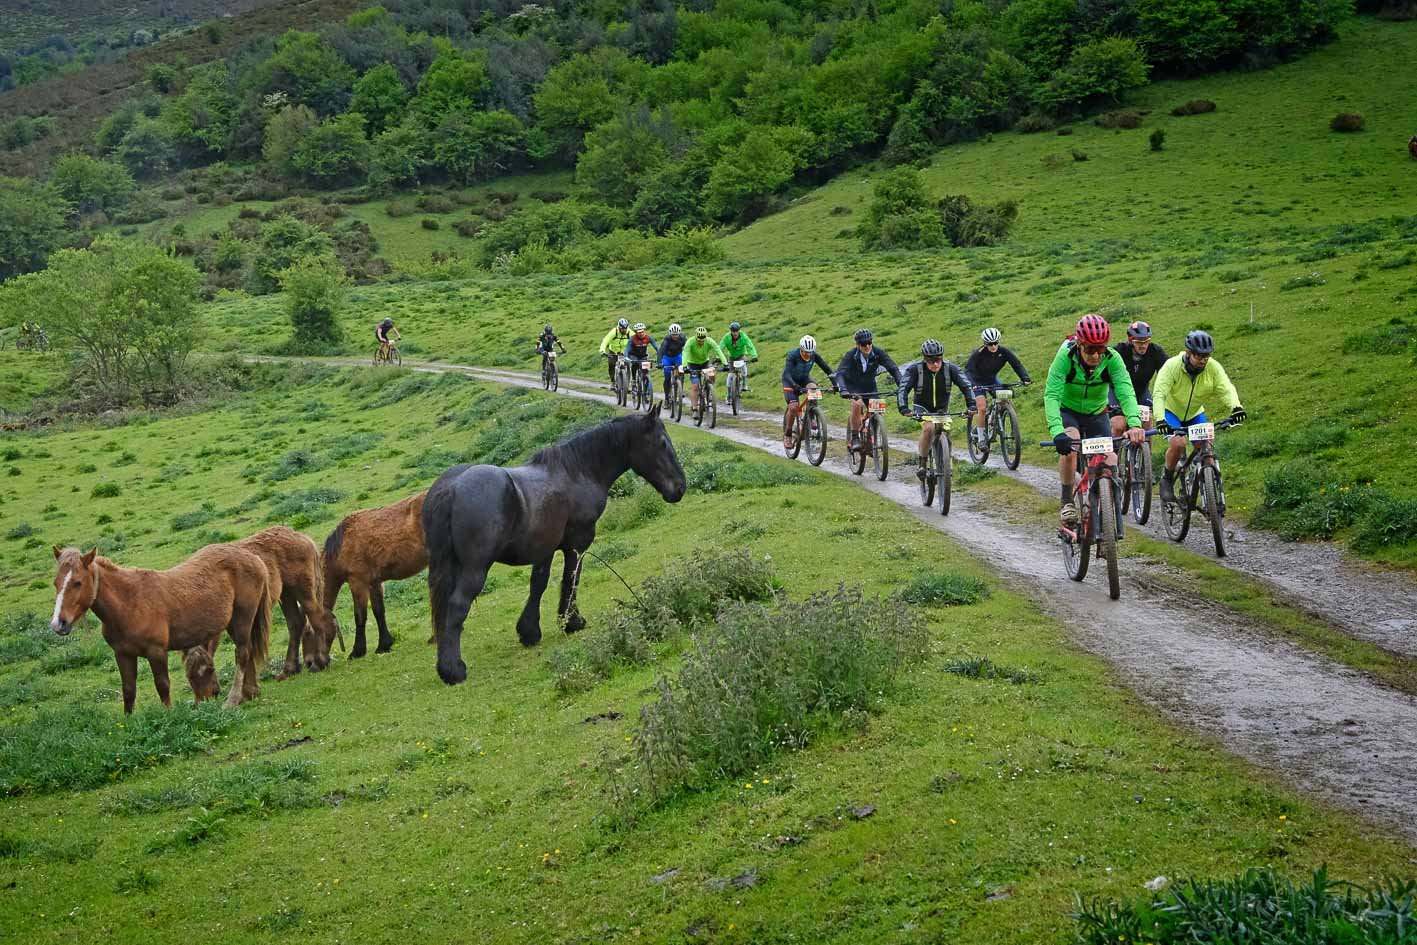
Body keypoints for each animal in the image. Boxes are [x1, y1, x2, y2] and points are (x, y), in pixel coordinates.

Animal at [51, 546, 272, 708]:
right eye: (56, 583)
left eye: (77, 583)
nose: (58, 623)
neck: (129, 603)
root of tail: (253, 558)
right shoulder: (123, 655)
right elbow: (128, 691)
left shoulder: (156, 651)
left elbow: (162, 686)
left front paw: (169, 714)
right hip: (232, 624)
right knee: (248, 652)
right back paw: (249, 694)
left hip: (242, 619)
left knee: (242, 654)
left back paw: (232, 700)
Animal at [321, 487, 425, 657]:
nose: (313, 662)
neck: (341, 544)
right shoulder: (374, 583)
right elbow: (378, 611)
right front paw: (384, 645)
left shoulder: (358, 582)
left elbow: (359, 616)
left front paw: (357, 651)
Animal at [419, 402, 685, 682]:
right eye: (662, 443)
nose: (680, 487)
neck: (577, 473)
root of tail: (451, 488)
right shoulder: (577, 544)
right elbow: (571, 579)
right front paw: (572, 622)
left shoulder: (544, 548)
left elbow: (539, 584)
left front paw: (529, 631)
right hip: (475, 569)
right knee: (457, 606)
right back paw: (453, 670)